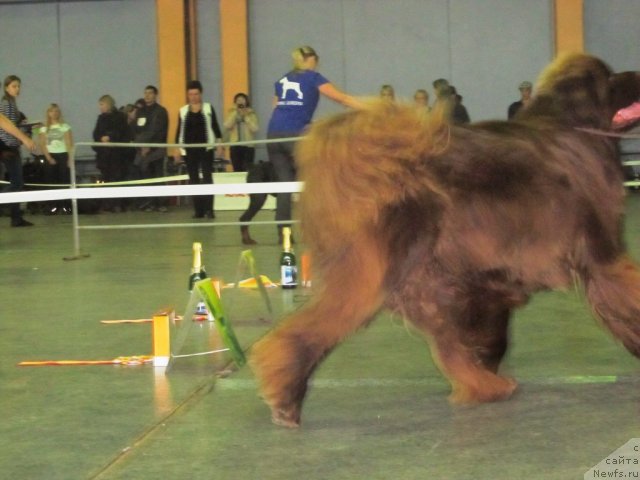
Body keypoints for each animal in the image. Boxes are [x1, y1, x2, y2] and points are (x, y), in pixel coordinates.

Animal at [252, 54, 640, 426]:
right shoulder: (601, 254)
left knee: (447, 345)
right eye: (609, 76)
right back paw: (286, 398)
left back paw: (484, 385)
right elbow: (629, 297)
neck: (573, 127)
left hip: (430, 279)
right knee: (312, 328)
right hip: (380, 272)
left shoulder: (488, 280)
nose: (637, 73)